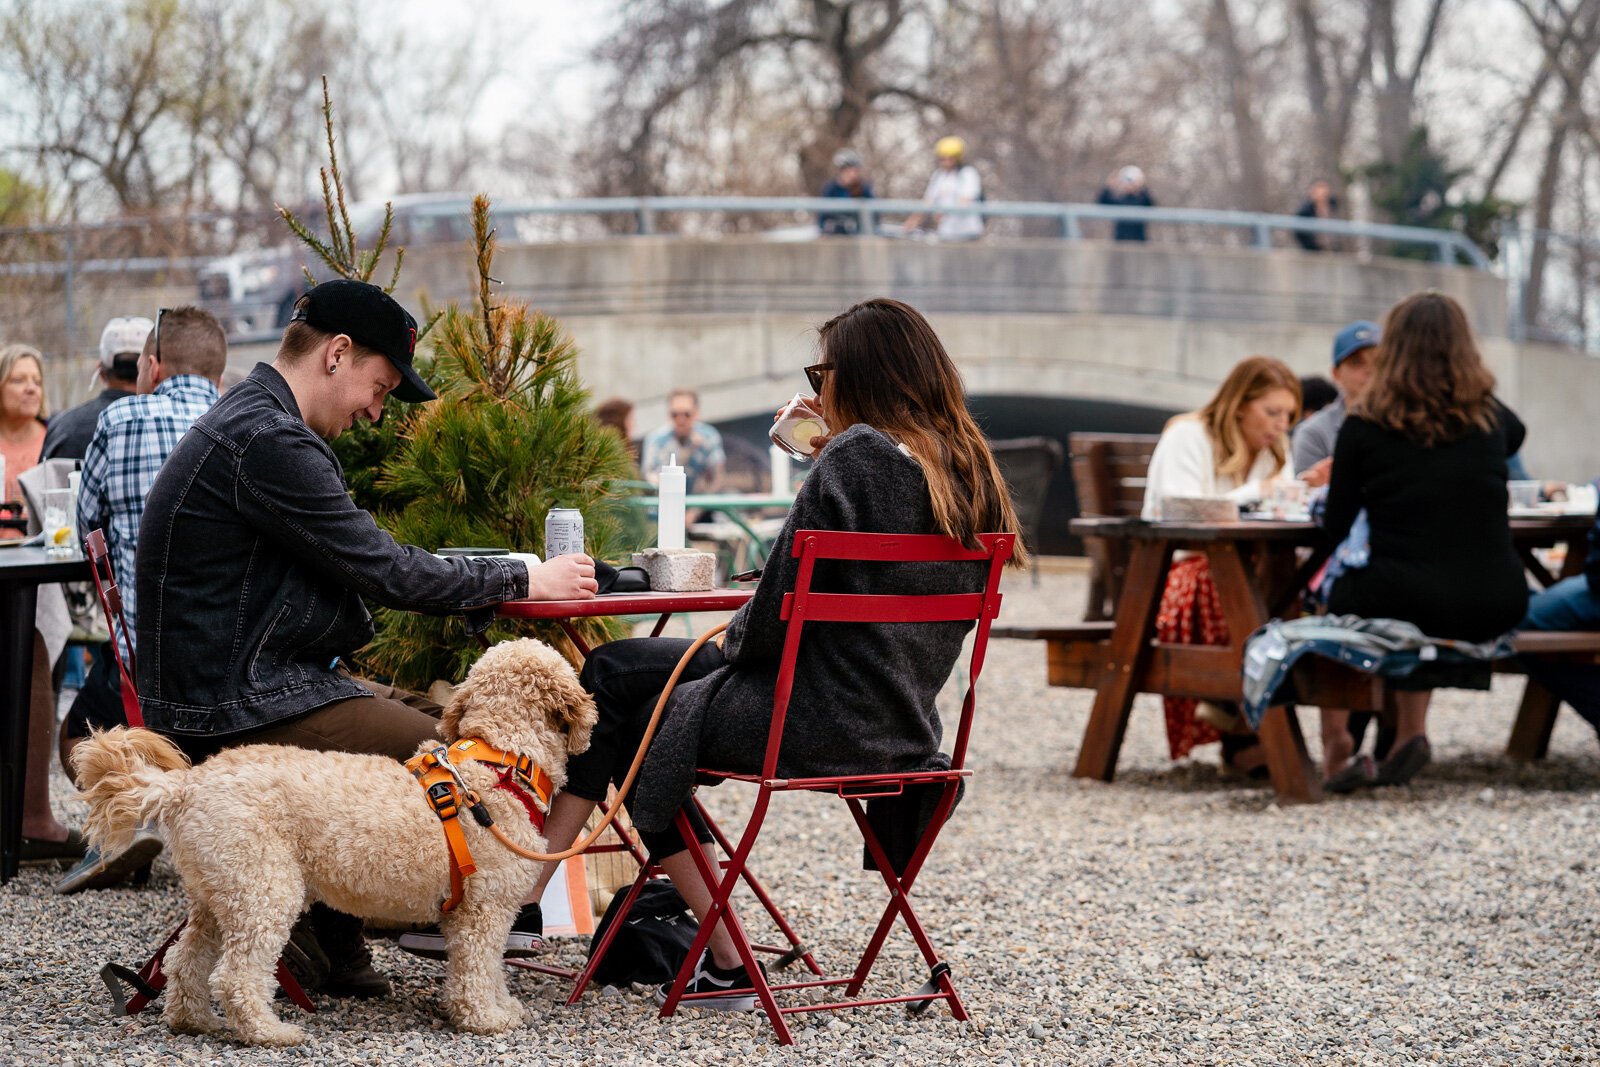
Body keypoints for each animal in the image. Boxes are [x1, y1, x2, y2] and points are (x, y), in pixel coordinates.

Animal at [70, 639, 601, 1049]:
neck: (499, 762)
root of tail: (186, 786)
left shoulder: (477, 912)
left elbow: (490, 968)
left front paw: (501, 1007)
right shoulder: (483, 911)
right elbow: (480, 969)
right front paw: (485, 1018)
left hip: (219, 893)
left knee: (185, 961)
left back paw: (193, 1019)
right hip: (266, 891)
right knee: (236, 975)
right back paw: (269, 1033)